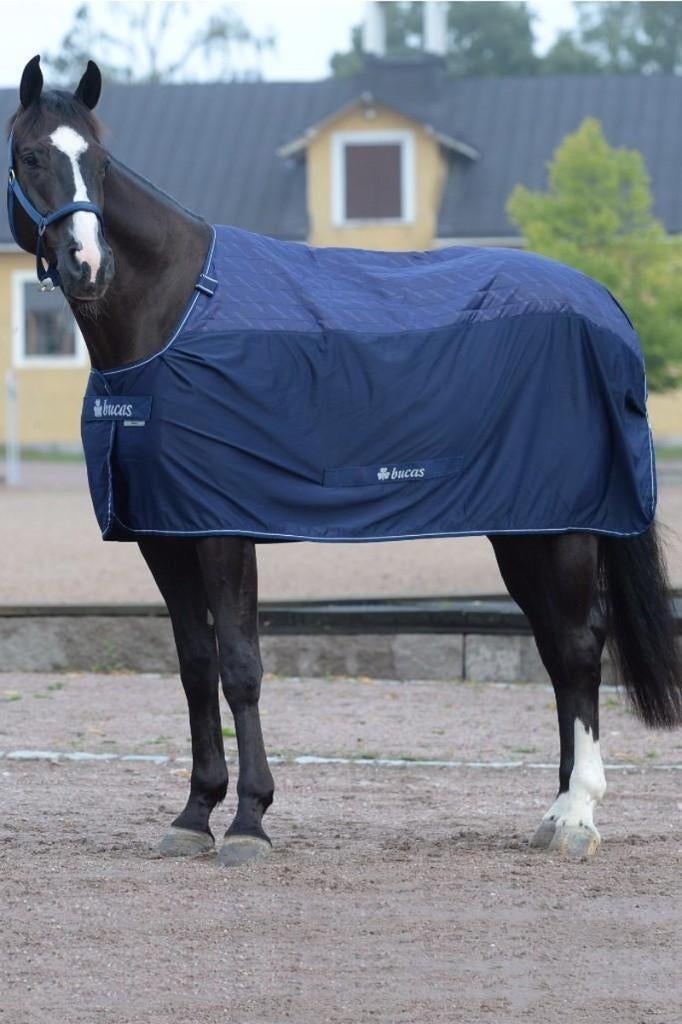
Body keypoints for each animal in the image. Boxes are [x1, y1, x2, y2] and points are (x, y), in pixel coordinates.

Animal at [8, 56, 681, 867]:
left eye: (101, 164)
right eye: (31, 156)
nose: (87, 263)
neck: (174, 315)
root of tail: (604, 301)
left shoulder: (224, 529)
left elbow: (241, 666)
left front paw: (250, 821)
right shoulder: (164, 536)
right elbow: (196, 666)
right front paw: (194, 813)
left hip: (568, 527)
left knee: (581, 646)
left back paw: (578, 814)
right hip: (524, 527)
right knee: (556, 649)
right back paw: (552, 812)